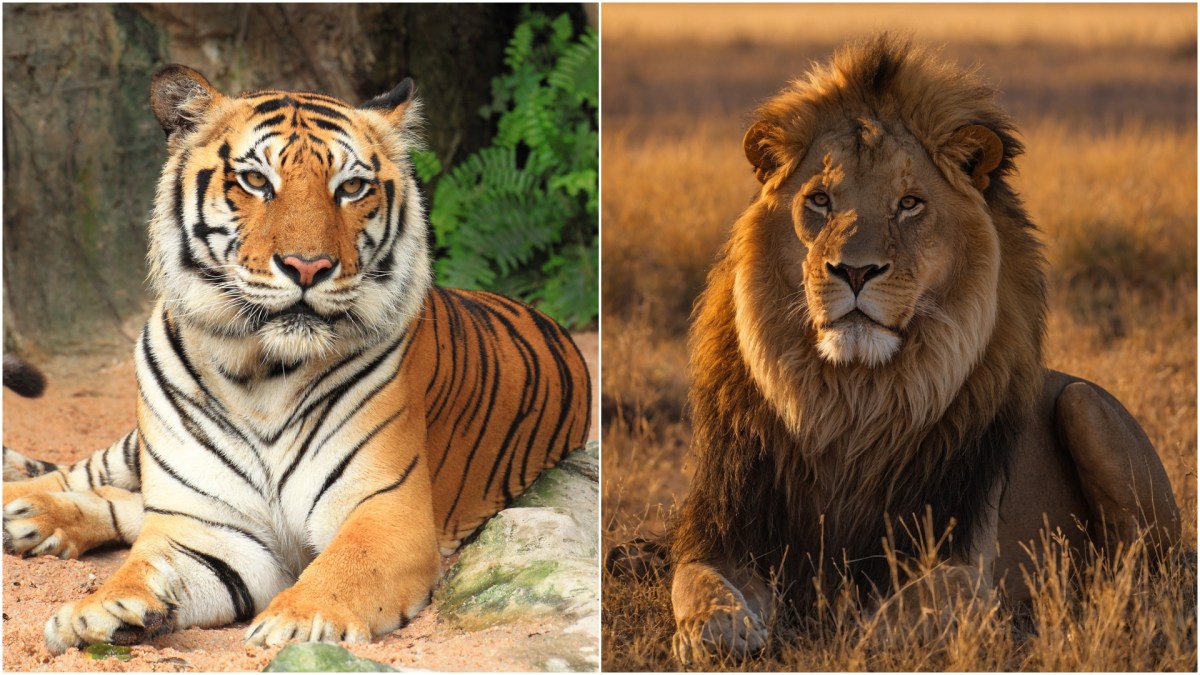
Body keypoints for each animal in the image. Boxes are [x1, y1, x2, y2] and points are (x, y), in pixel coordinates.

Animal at [657, 36, 1180, 663]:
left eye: (909, 204)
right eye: (820, 200)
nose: (855, 271)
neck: (850, 402)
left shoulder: (968, 565)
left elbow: (917, 604)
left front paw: (854, 636)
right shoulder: (728, 530)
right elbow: (694, 580)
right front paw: (716, 627)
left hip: (1086, 406)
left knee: (1145, 569)